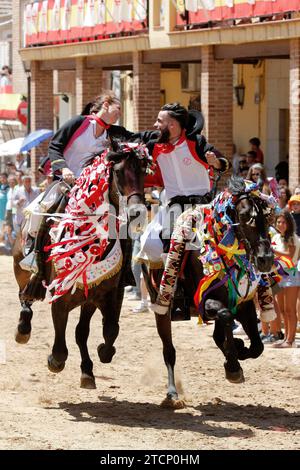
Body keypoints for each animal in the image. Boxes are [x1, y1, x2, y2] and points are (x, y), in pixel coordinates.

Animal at [13, 142, 150, 390]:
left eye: (144, 170)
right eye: (118, 172)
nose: (137, 212)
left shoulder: (100, 296)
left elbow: (99, 331)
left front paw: (92, 364)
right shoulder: (61, 297)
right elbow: (60, 344)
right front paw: (56, 360)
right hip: (22, 272)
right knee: (25, 298)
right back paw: (23, 329)